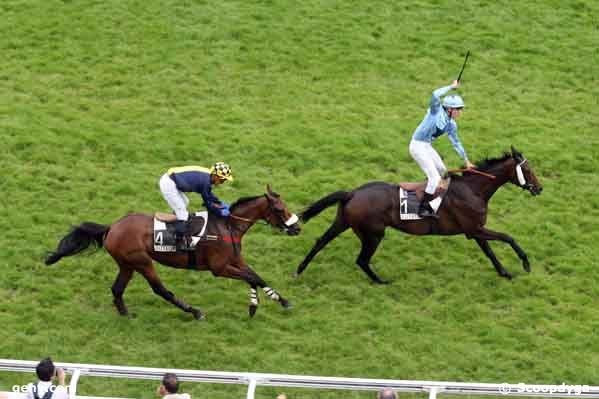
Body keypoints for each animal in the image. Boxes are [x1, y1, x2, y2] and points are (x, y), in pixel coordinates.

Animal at [45, 186, 300, 320]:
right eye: (279, 209)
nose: (297, 228)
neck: (227, 226)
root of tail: (111, 227)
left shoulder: (236, 261)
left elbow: (256, 277)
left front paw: (281, 301)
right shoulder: (219, 268)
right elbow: (250, 278)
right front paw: (254, 306)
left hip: (127, 264)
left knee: (117, 288)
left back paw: (125, 313)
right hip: (142, 261)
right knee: (160, 289)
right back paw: (194, 311)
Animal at [296, 148, 544, 284]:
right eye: (527, 170)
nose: (539, 188)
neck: (473, 189)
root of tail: (352, 193)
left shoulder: (474, 231)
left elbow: (490, 252)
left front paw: (505, 273)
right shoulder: (475, 229)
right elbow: (508, 237)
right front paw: (525, 263)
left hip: (344, 222)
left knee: (320, 242)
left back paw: (299, 270)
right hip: (373, 233)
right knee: (361, 260)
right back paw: (381, 281)